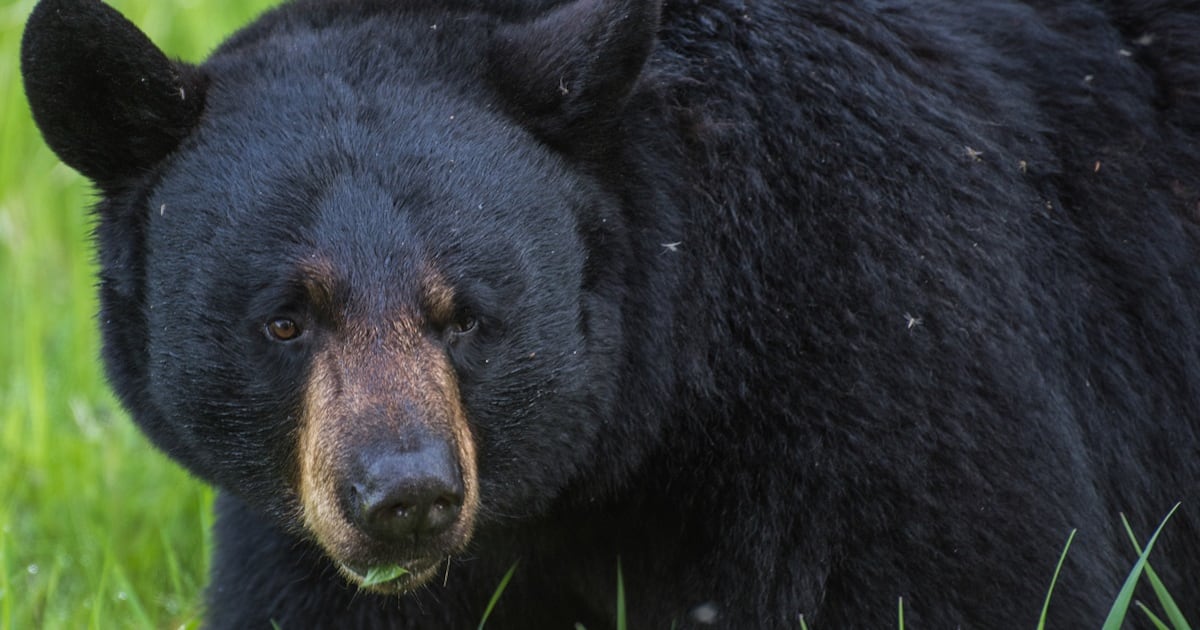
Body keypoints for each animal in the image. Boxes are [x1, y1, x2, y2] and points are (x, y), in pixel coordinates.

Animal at [20, 0, 1200, 626]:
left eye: (467, 315)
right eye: (284, 319)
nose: (404, 498)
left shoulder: (898, 339)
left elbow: (973, 577)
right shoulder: (303, 531)